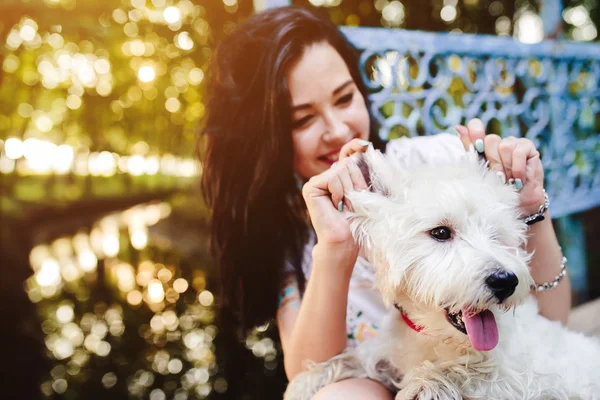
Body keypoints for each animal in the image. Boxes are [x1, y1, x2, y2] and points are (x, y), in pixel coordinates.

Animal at [284, 147, 600, 400]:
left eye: (497, 236)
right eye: (440, 232)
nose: (505, 281)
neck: (436, 339)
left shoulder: (539, 378)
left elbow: (477, 371)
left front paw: (426, 384)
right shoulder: (389, 354)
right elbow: (357, 358)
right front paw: (305, 381)